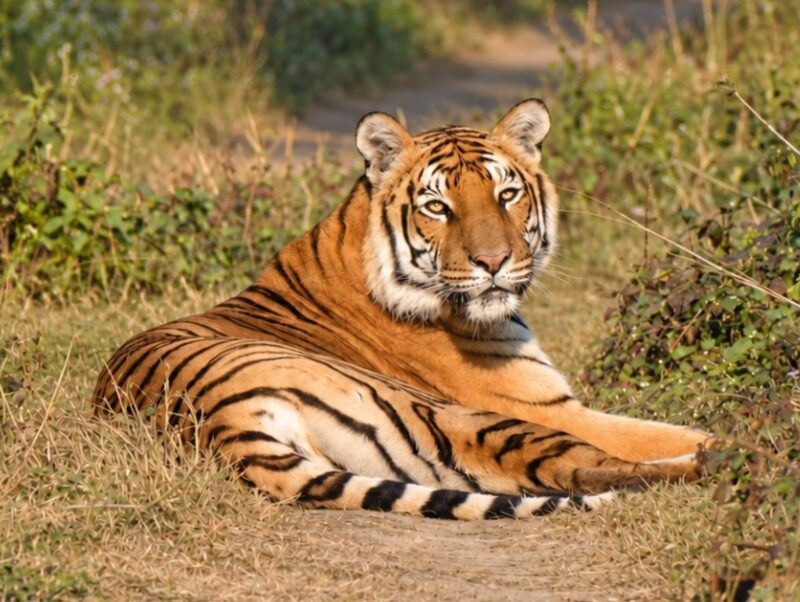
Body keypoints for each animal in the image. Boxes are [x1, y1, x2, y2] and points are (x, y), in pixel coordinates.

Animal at [93, 99, 712, 520]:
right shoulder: (552, 407)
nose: (493, 261)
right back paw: (725, 459)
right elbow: (662, 432)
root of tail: (220, 423)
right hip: (459, 417)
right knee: (587, 467)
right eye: (437, 207)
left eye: (506, 195)